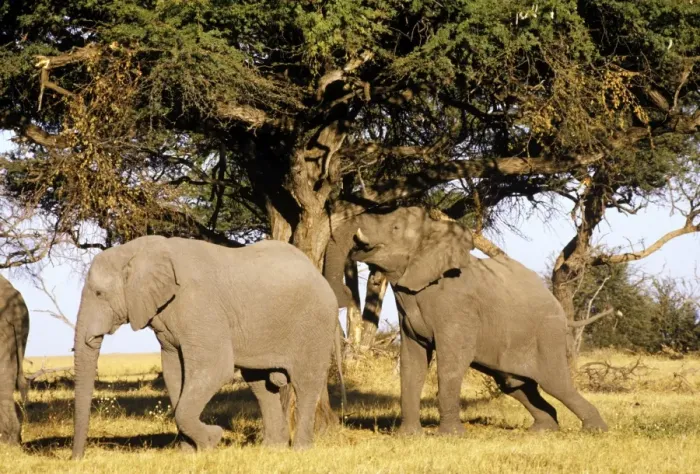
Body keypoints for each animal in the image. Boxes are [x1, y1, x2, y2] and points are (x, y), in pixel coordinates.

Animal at [72, 235, 344, 459]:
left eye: (99, 293)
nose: (77, 459)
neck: (137, 251)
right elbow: (174, 374)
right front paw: (188, 452)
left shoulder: (200, 305)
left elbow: (215, 368)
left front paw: (212, 439)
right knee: (260, 385)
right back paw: (272, 449)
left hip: (315, 322)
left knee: (305, 382)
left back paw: (300, 450)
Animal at [324, 207, 608, 435]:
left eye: (395, 228)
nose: (346, 293)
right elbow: (412, 363)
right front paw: (408, 436)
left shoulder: (458, 306)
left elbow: (451, 363)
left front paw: (450, 436)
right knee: (514, 385)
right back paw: (543, 430)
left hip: (547, 335)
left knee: (556, 383)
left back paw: (595, 430)